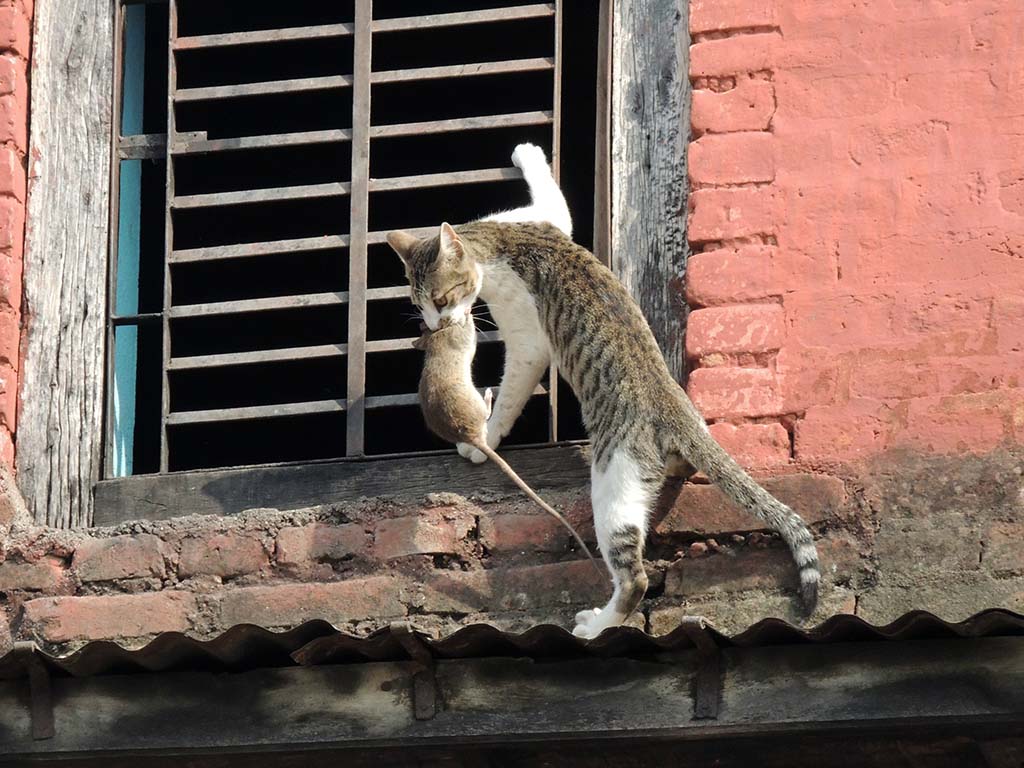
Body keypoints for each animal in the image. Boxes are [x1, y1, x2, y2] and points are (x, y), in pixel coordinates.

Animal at [387, 143, 819, 638]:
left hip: (614, 486)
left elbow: (509, 396)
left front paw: (483, 440)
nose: (435, 324)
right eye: (417, 304)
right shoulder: (549, 217)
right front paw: (527, 154)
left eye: (440, 300)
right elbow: (552, 192)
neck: (499, 240)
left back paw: (595, 628)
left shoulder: (529, 343)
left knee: (634, 579)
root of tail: (675, 412)